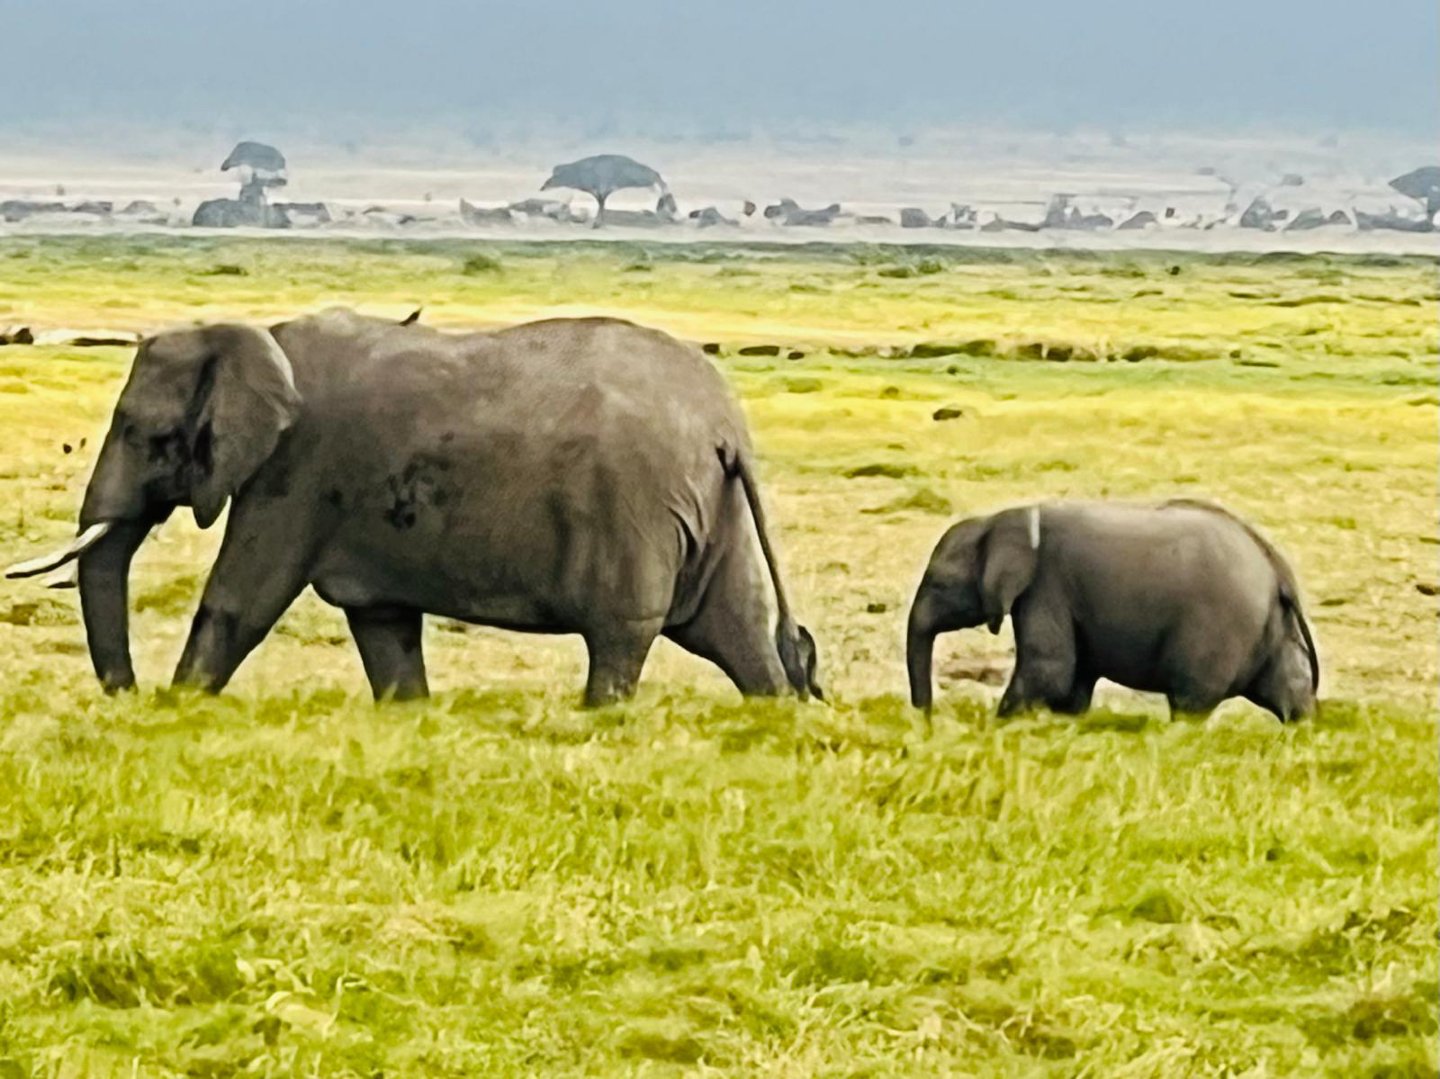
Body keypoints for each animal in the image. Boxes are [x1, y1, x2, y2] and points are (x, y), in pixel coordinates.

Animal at [6, 309, 822, 706]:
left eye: (143, 434)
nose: (127, 696)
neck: (253, 335)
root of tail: (724, 427)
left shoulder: (297, 472)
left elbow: (240, 598)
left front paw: (180, 709)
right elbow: (383, 623)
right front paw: (408, 713)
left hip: (636, 508)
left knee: (623, 637)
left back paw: (600, 717)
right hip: (715, 507)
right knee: (737, 631)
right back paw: (778, 714)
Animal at [906, 500, 1319, 722]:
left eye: (940, 584)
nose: (926, 722)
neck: (1007, 517)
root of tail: (1275, 565)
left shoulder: (1045, 586)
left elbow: (1049, 670)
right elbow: (1071, 682)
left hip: (1219, 627)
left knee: (1190, 703)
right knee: (1289, 686)